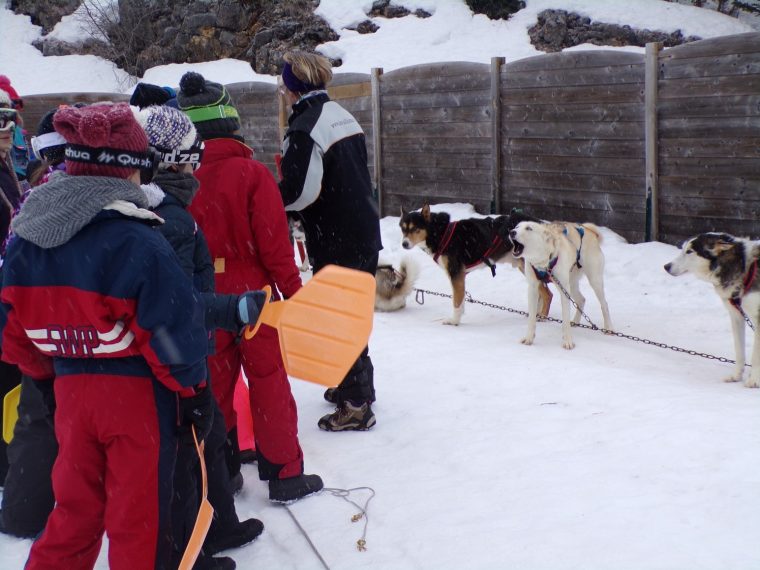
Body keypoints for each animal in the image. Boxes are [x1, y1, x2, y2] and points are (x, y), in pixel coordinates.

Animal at [398, 204, 552, 324]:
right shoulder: (459, 277)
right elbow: (460, 300)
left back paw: (542, 317)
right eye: (403, 229)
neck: (441, 233)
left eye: (414, 229)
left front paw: (454, 321)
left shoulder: (456, 274)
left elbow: (456, 301)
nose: (404, 244)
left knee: (548, 294)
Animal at [510, 220, 612, 348]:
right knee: (581, 299)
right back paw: (576, 321)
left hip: (593, 281)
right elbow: (532, 318)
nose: (511, 232)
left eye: (529, 228)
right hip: (571, 285)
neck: (543, 263)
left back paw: (609, 328)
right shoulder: (533, 288)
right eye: (517, 227)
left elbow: (565, 319)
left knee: (604, 304)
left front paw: (568, 341)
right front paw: (529, 338)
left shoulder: (564, 291)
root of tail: (590, 231)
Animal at [664, 231, 760, 386]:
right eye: (683, 249)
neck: (745, 267)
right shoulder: (736, 316)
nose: (666, 266)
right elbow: (739, 352)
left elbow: (756, 356)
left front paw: (754, 381)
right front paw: (736, 376)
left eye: (689, 251)